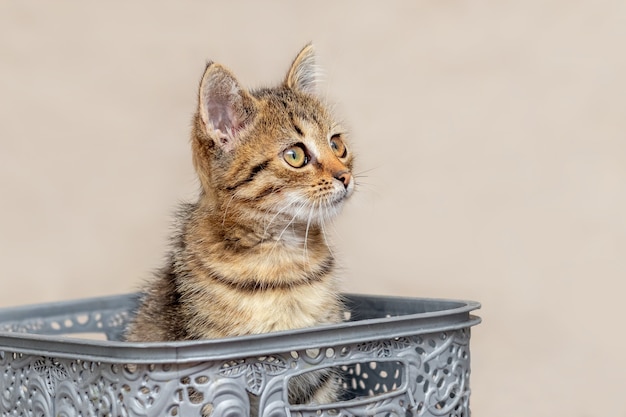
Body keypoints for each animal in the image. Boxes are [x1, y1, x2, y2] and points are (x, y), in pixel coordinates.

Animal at [124, 44, 354, 410]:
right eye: (295, 155)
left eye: (337, 145)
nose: (345, 176)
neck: (282, 259)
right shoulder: (208, 382)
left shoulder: (318, 377)